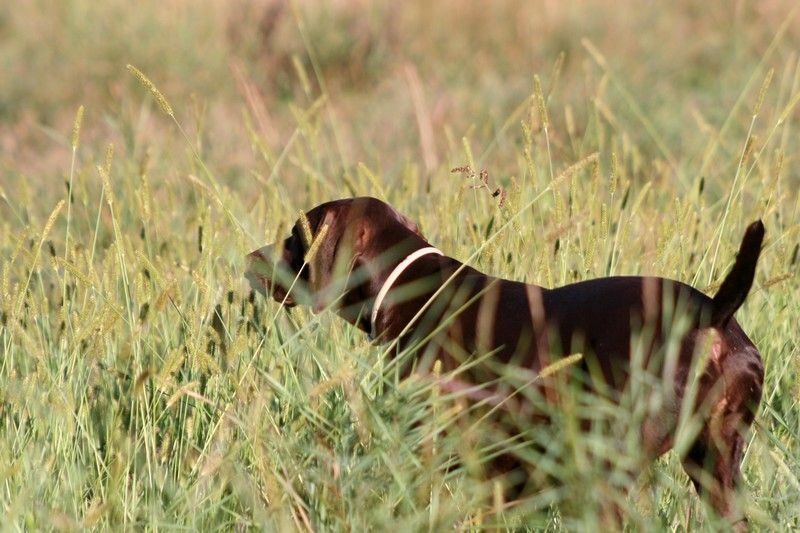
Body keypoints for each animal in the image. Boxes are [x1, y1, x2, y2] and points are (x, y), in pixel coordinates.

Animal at [247, 195, 764, 524]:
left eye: (295, 236)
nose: (251, 258)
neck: (412, 284)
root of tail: (712, 313)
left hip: (606, 467)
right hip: (716, 470)